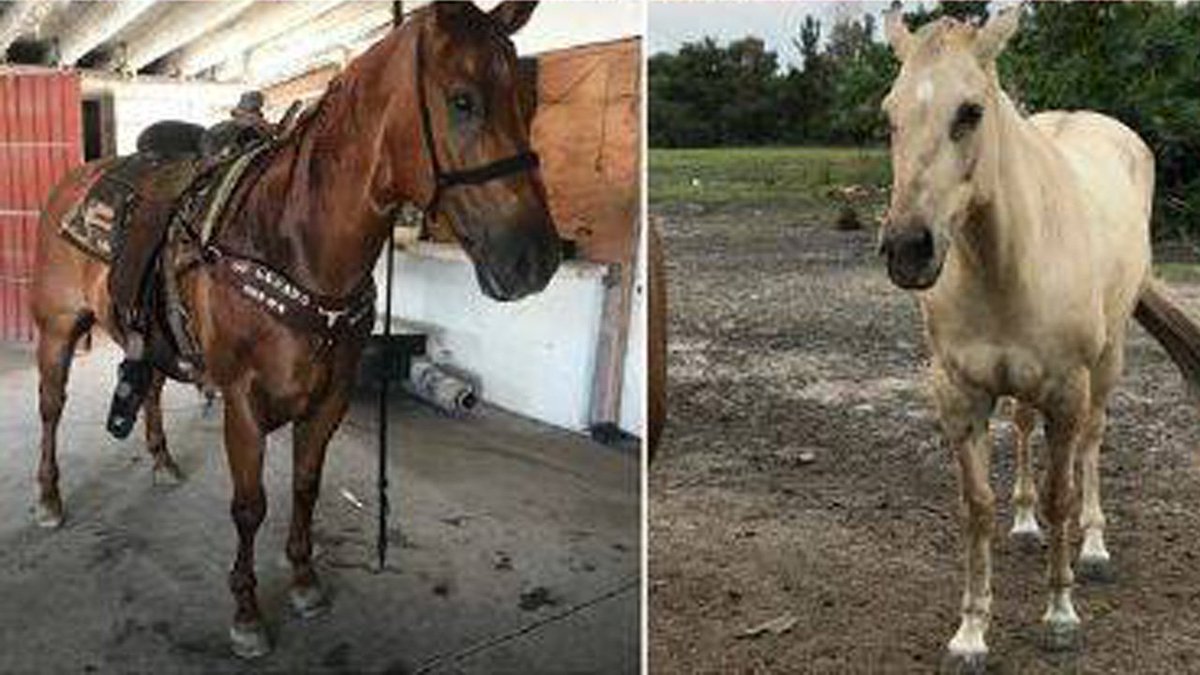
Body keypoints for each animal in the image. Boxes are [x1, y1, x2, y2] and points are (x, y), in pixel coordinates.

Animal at [31, 1, 559, 658]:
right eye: (462, 101)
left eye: (528, 100)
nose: (536, 260)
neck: (294, 242)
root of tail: (71, 185)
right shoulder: (243, 402)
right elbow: (249, 506)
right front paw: (248, 613)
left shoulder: (329, 399)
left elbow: (306, 485)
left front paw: (305, 580)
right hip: (56, 330)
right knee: (51, 408)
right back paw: (49, 498)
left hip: (147, 336)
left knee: (147, 387)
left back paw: (162, 461)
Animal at [880, 6, 1200, 666]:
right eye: (888, 116)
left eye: (970, 112)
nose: (906, 249)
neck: (1008, 262)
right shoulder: (959, 395)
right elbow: (977, 507)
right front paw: (971, 632)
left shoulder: (1067, 390)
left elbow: (1062, 494)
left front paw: (1060, 614)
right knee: (1026, 430)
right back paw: (1027, 526)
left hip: (1104, 367)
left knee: (1091, 444)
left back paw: (1094, 546)